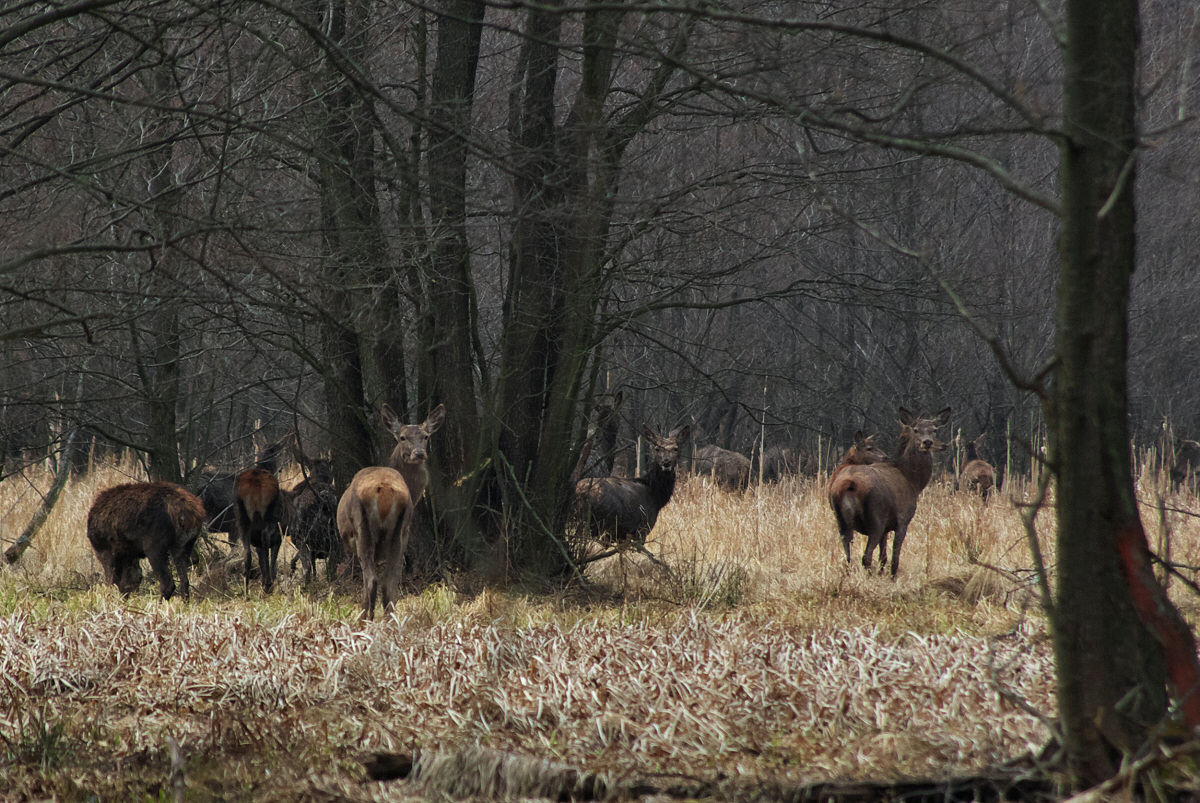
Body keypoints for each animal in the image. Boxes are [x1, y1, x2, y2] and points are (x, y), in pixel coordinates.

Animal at [338, 463, 412, 619]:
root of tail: (386, 493)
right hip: (401, 532)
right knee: (389, 583)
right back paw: (388, 621)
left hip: (362, 528)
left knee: (371, 580)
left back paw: (365, 619)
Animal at [825, 408, 945, 576]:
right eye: (915, 430)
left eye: (934, 430)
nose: (927, 442)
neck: (912, 482)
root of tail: (849, 484)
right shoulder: (902, 520)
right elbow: (895, 558)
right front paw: (892, 577)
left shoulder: (886, 528)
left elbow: (883, 557)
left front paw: (881, 574)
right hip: (876, 518)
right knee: (866, 556)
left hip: (841, 520)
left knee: (848, 557)